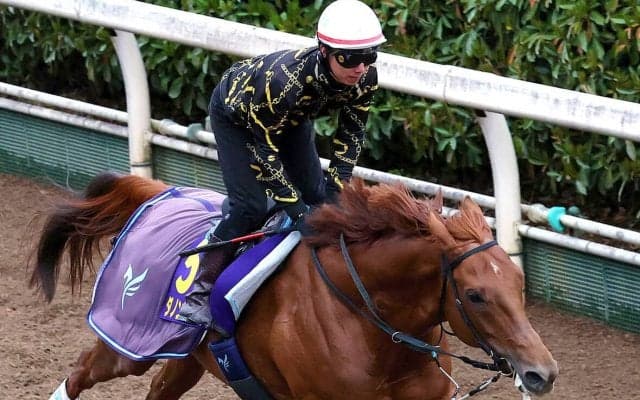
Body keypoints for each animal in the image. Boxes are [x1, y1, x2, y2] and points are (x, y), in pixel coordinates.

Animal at [30, 172, 558, 399]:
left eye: (519, 283)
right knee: (81, 374)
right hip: (130, 343)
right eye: (475, 294)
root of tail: (159, 191)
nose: (542, 373)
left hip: (189, 357)